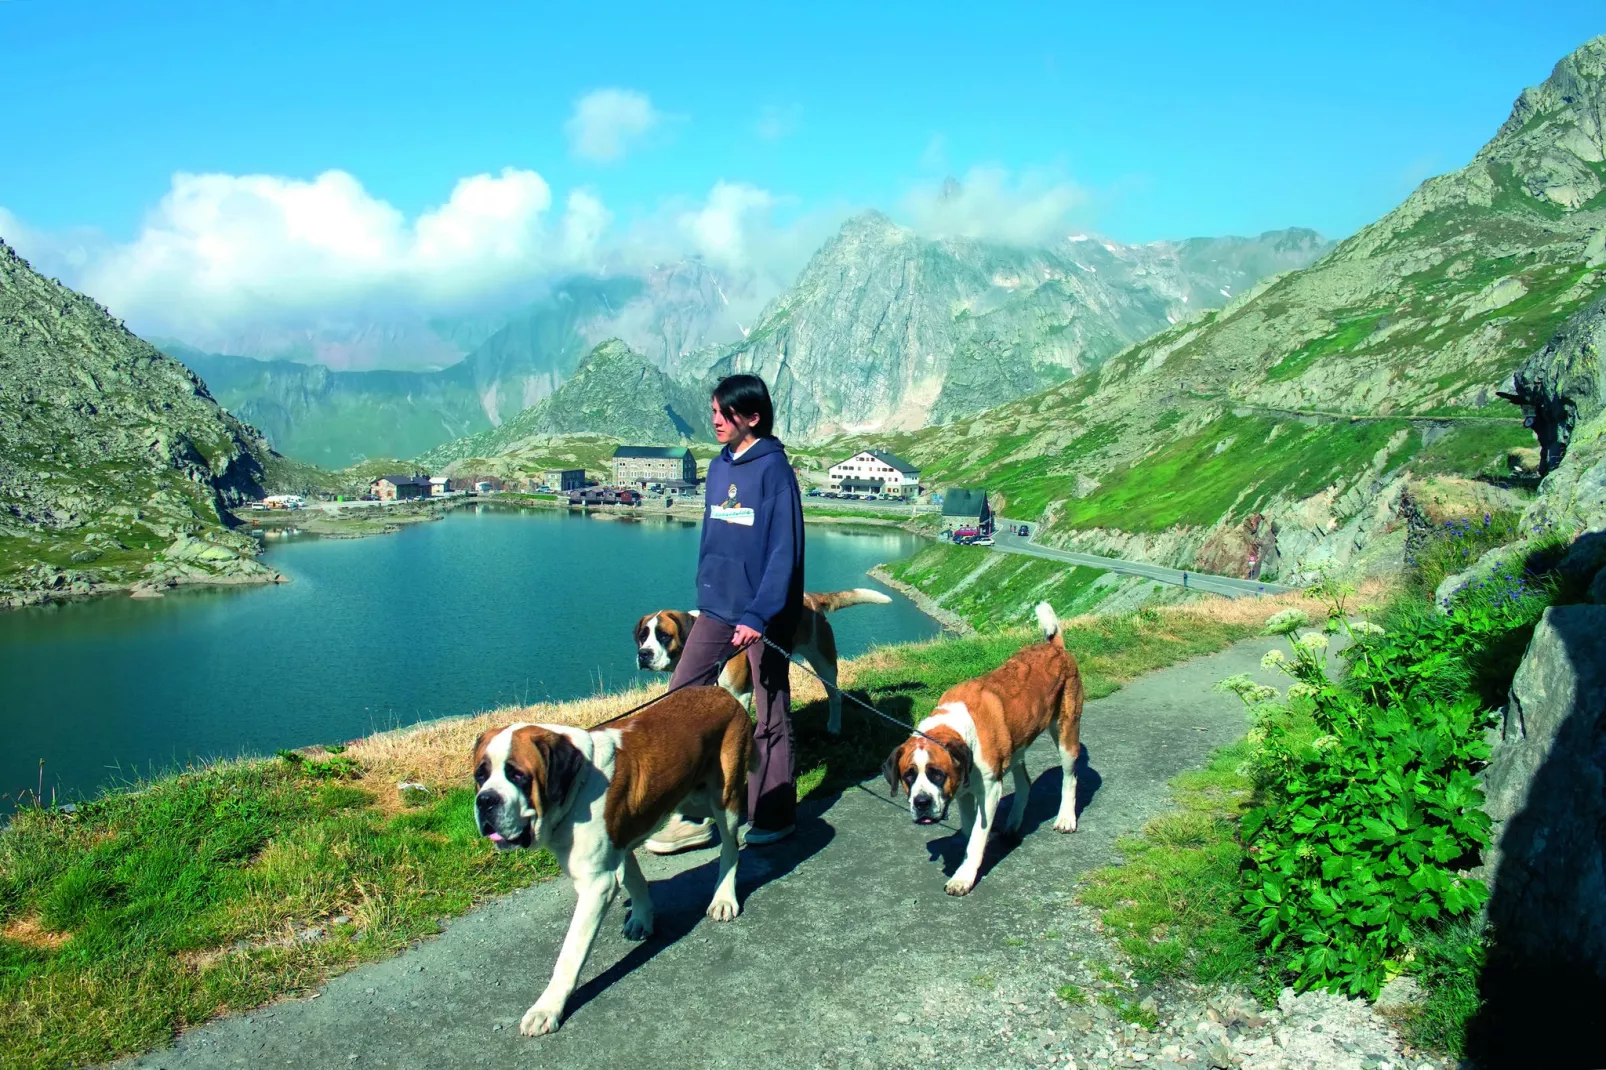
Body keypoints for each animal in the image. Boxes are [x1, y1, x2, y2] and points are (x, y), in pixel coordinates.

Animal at [472, 684, 754, 1034]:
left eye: (518, 776)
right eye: (480, 776)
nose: (485, 801)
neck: (576, 785)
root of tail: (724, 693)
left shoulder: (596, 885)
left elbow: (569, 953)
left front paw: (547, 1008)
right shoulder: (619, 843)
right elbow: (635, 879)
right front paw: (642, 919)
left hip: (722, 796)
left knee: (730, 846)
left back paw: (724, 897)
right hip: (690, 796)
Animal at [632, 588, 899, 729]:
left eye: (664, 636)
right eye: (643, 636)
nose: (643, 654)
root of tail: (812, 597)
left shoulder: (740, 693)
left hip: (824, 662)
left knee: (835, 696)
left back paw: (834, 727)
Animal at [886, 600, 1085, 893]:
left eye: (937, 774)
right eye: (908, 776)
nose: (921, 802)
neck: (957, 729)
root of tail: (1054, 647)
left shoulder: (989, 790)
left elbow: (977, 836)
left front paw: (963, 876)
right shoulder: (964, 792)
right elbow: (971, 830)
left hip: (1066, 731)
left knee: (1070, 777)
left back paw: (1066, 818)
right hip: (1016, 745)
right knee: (1024, 781)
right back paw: (1014, 822)